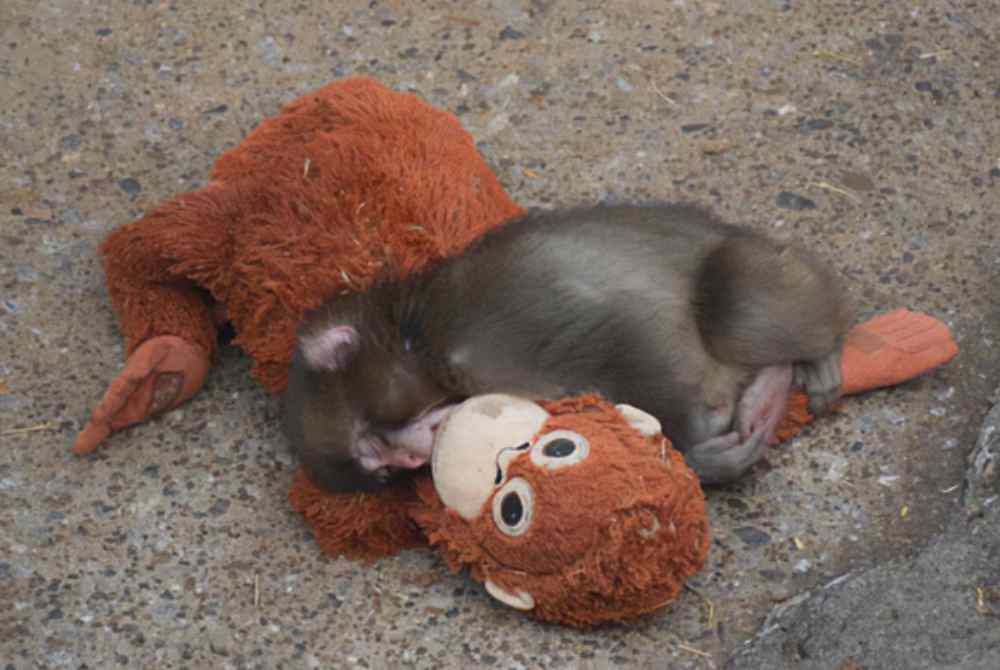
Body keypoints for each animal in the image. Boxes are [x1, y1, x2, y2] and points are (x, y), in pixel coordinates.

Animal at [282, 204, 852, 492]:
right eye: (383, 467)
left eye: (372, 443)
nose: (412, 457)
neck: (417, 337)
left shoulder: (490, 325)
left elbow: (621, 331)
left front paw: (694, 447)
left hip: (765, 269)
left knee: (733, 306)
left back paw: (811, 358)